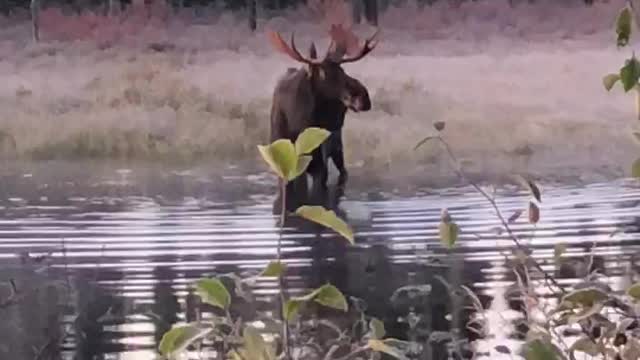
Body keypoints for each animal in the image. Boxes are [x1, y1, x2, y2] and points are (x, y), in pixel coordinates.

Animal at [266, 24, 378, 197]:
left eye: (343, 70)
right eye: (325, 73)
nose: (363, 97)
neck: (297, 123)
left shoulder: (318, 165)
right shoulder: (285, 168)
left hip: (336, 146)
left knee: (343, 171)